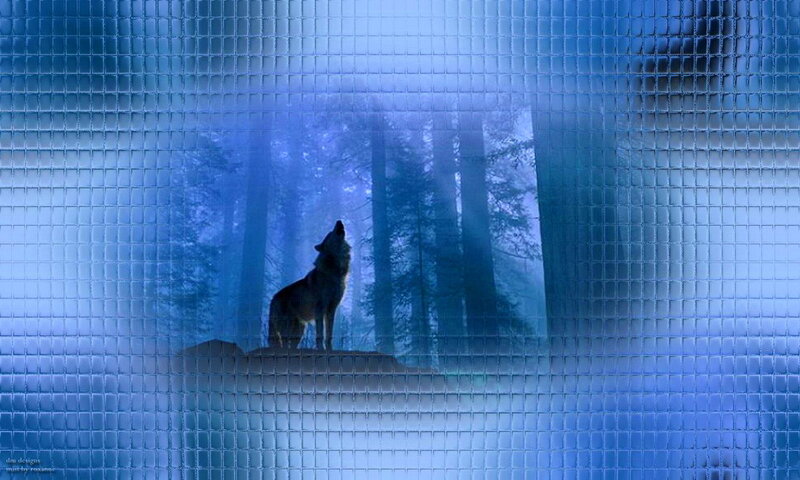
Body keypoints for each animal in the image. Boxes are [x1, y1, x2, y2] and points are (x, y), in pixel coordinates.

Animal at [266, 220, 351, 350]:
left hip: (299, 331)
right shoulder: (319, 310)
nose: (339, 221)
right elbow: (320, 334)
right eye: (330, 232)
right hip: (287, 328)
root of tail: (273, 298)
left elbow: (329, 335)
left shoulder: (331, 310)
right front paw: (321, 349)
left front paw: (329, 350)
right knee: (284, 343)